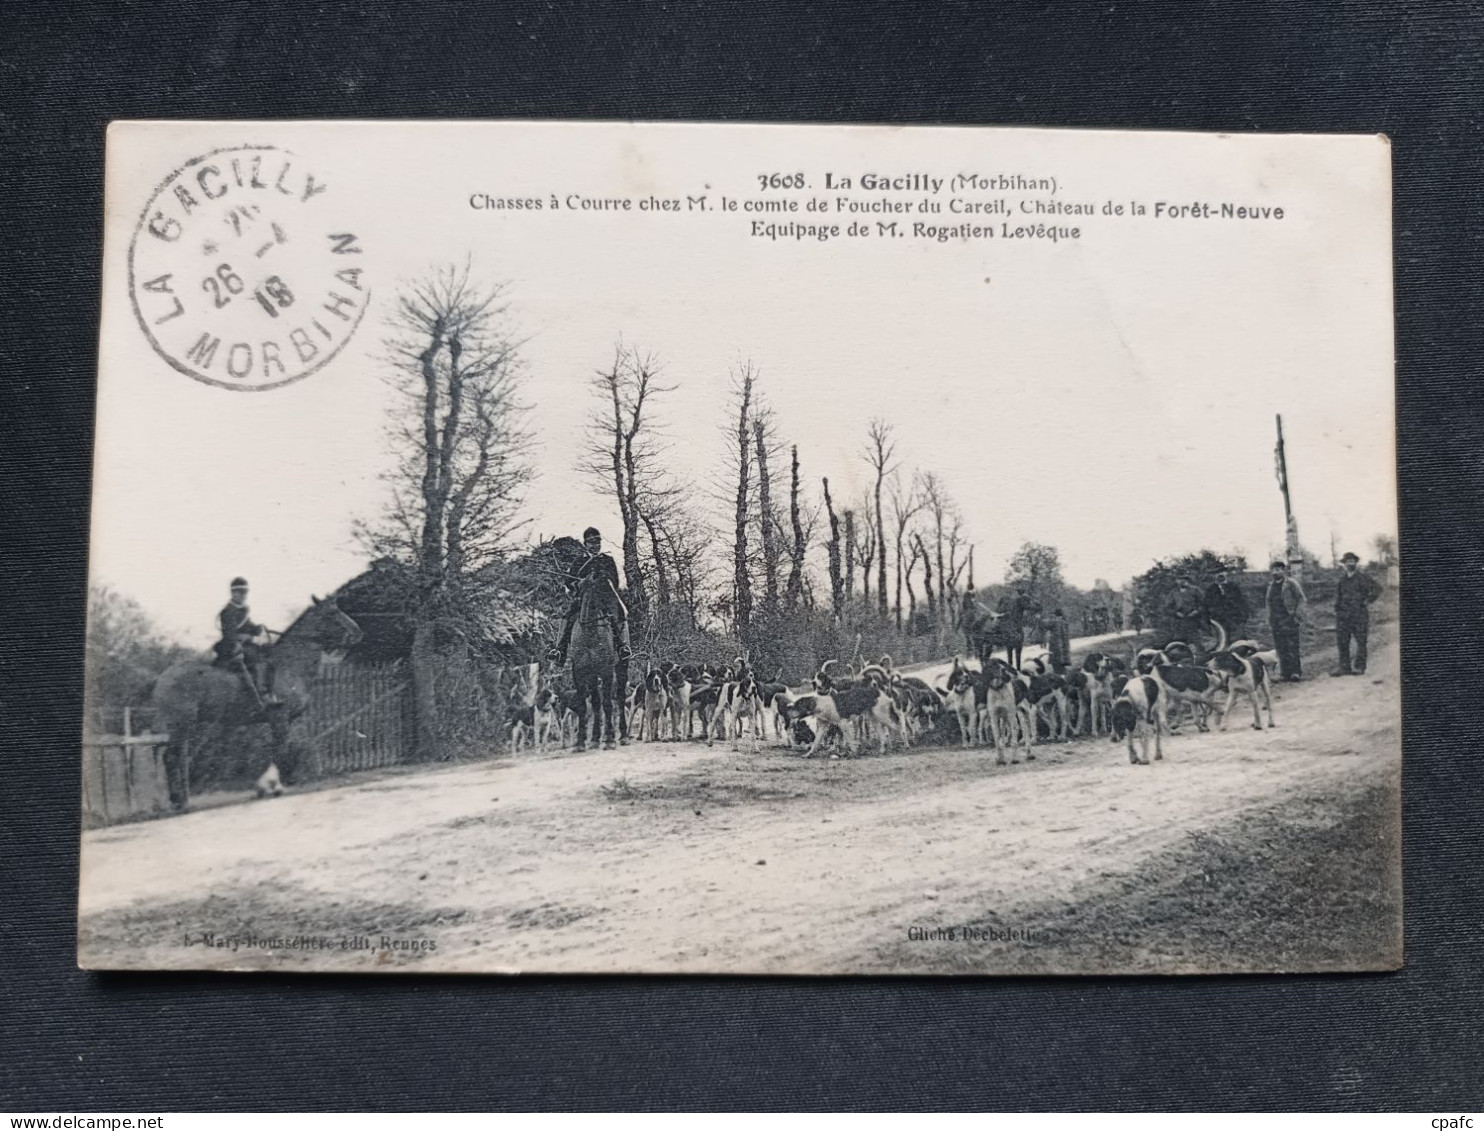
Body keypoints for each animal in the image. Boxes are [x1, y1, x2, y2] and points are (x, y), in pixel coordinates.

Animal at [149, 593, 363, 807]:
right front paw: (277, 785)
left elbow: (278, 750)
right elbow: (280, 750)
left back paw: (180, 799)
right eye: (333, 612)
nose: (358, 633)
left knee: (174, 756)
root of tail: (163, 678)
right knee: (170, 756)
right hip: (182, 724)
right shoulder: (280, 717)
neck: (289, 665)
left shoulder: (287, 720)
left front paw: (268, 784)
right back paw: (177, 800)